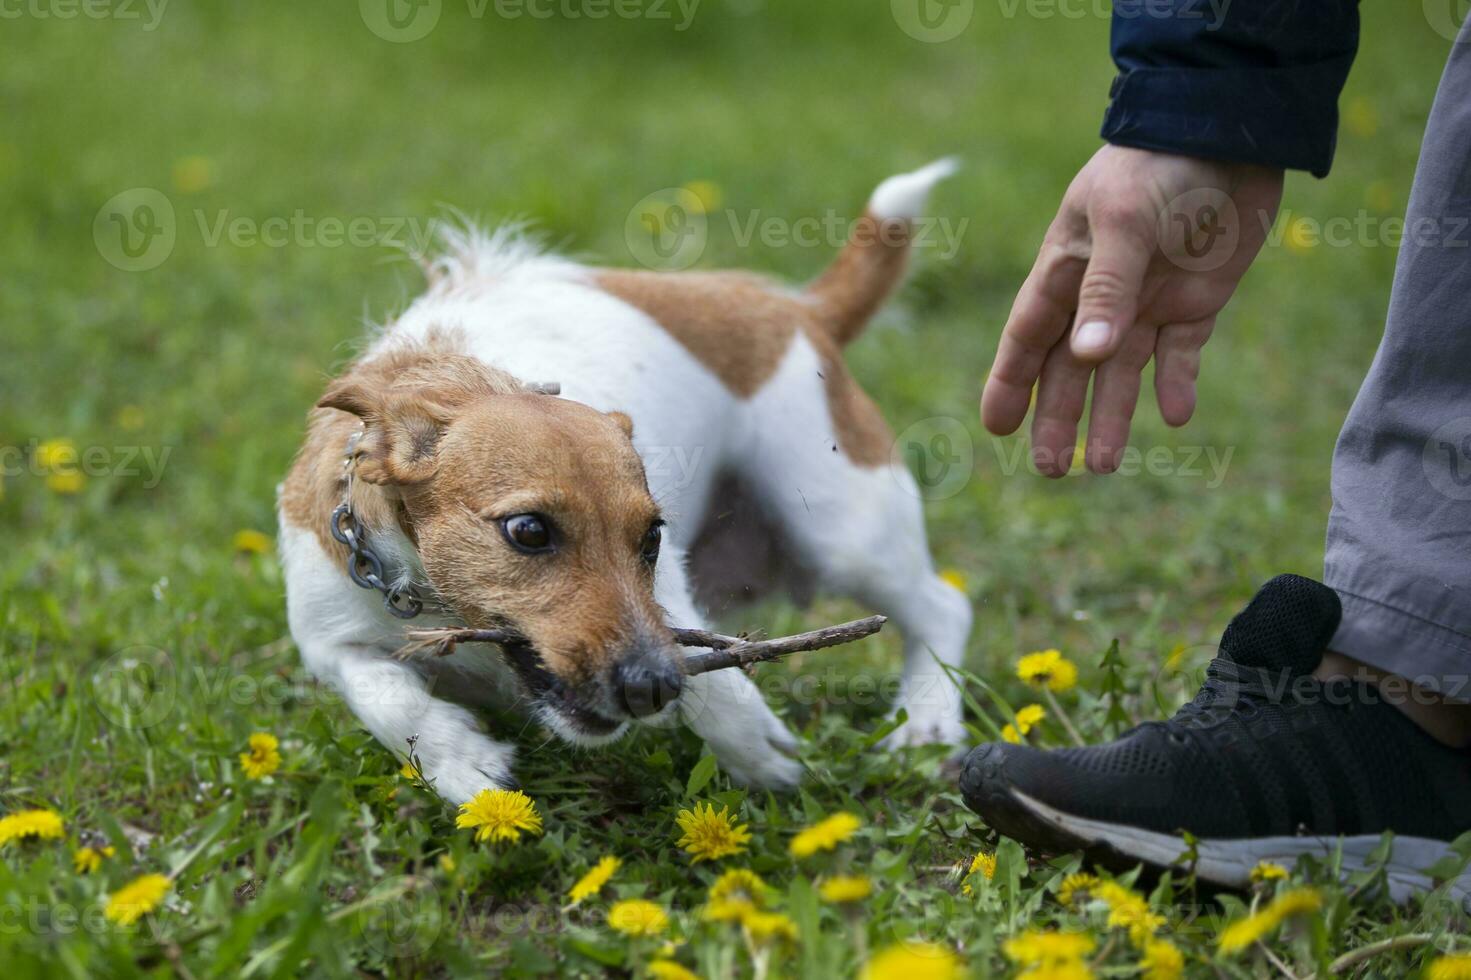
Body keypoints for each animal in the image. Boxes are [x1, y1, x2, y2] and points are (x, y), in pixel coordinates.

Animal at [279, 161, 970, 800]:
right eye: (528, 532)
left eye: (653, 538)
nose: (653, 685)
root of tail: (796, 307)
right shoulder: (326, 638)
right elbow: (384, 695)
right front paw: (460, 762)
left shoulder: (668, 597)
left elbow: (715, 680)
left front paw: (754, 745)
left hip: (843, 530)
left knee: (944, 607)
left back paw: (926, 722)